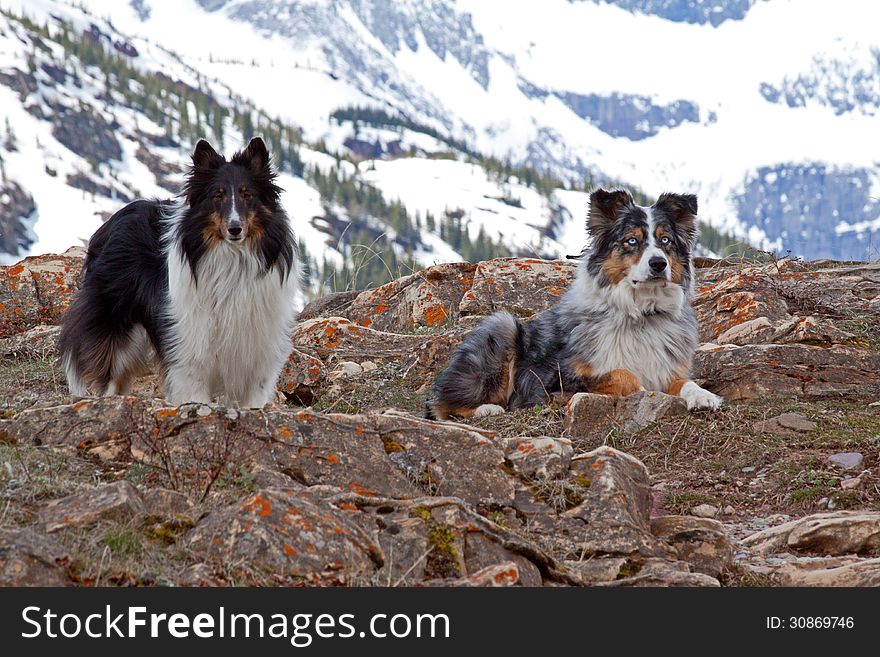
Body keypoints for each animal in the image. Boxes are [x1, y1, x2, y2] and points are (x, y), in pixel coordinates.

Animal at [60, 136, 300, 408]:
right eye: (217, 195)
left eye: (247, 194)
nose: (235, 229)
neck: (233, 258)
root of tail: (113, 220)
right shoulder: (191, 345)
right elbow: (196, 393)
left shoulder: (257, 351)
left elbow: (253, 398)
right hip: (116, 323)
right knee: (109, 370)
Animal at [426, 187, 720, 418]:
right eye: (631, 241)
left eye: (665, 240)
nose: (658, 264)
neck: (640, 315)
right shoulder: (556, 381)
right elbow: (622, 375)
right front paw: (645, 392)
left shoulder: (668, 369)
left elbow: (683, 383)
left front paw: (703, 396)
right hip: (503, 326)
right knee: (442, 404)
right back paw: (487, 408)